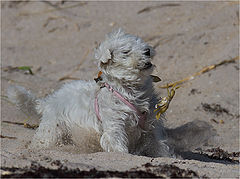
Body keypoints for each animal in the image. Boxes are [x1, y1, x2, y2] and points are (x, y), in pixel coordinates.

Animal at [7, 29, 214, 158]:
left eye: (143, 47)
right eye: (126, 51)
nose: (148, 51)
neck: (131, 90)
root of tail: (49, 100)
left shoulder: (151, 126)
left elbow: (159, 146)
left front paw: (170, 157)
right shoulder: (115, 125)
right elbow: (117, 144)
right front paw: (123, 156)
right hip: (52, 130)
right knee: (43, 141)